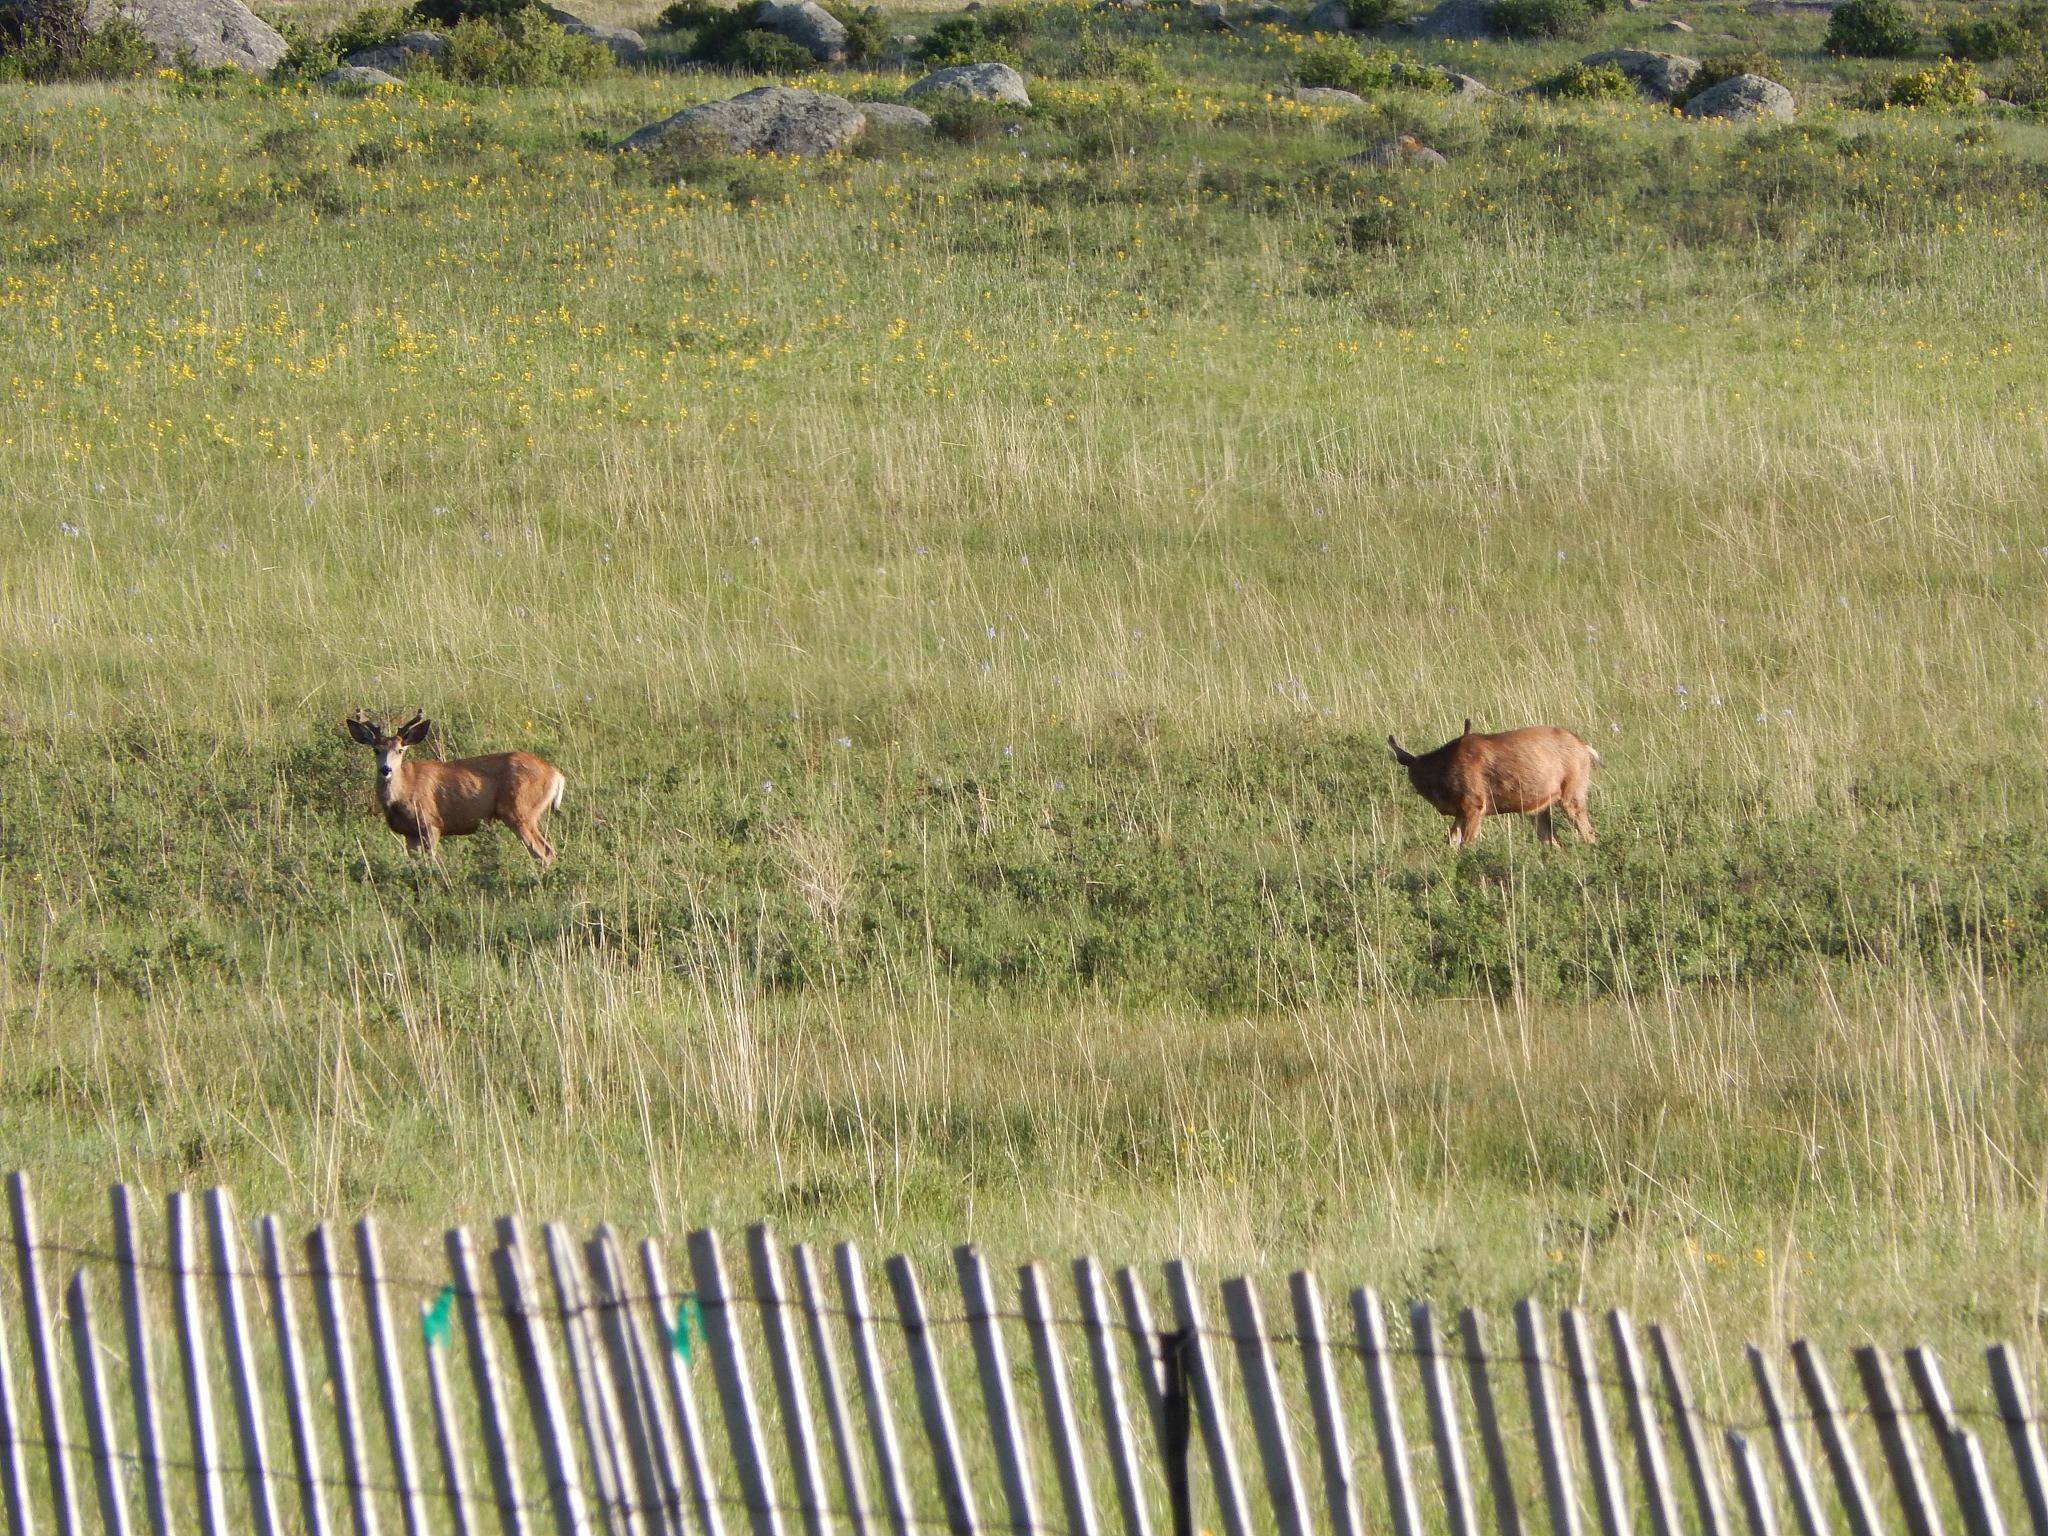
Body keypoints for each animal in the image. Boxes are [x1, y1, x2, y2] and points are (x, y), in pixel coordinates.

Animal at [344, 710, 566, 866]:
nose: (385, 769)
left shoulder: (431, 824)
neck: (404, 790)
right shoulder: (409, 833)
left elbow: (430, 863)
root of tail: (556, 774)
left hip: (520, 811)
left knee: (545, 852)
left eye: (400, 750)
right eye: (376, 749)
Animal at [1387, 720, 1598, 849]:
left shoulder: (1474, 803)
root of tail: (1585, 749)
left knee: (1588, 833)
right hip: (1539, 806)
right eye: (1414, 778)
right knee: (1551, 842)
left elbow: (1466, 844)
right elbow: (1451, 842)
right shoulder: (1460, 811)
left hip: (1573, 793)